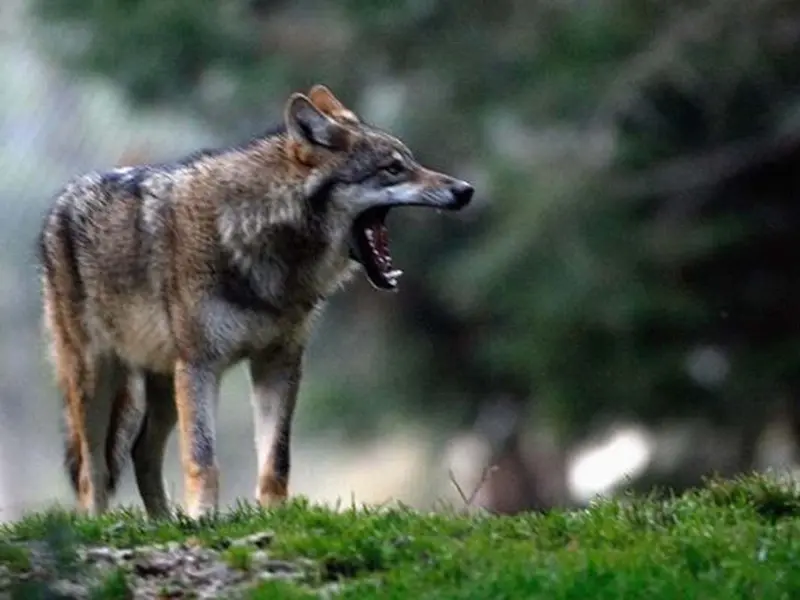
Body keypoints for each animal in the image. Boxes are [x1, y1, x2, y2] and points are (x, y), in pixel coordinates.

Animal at [37, 84, 474, 519]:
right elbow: (203, 457)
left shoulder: (278, 363)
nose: (465, 190)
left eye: (410, 161)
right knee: (92, 470)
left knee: (141, 451)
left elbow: (276, 460)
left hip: (164, 384)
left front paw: (274, 516)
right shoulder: (201, 366)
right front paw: (203, 518)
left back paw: (163, 522)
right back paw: (100, 522)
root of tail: (62, 201)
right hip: (98, 380)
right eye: (393, 169)